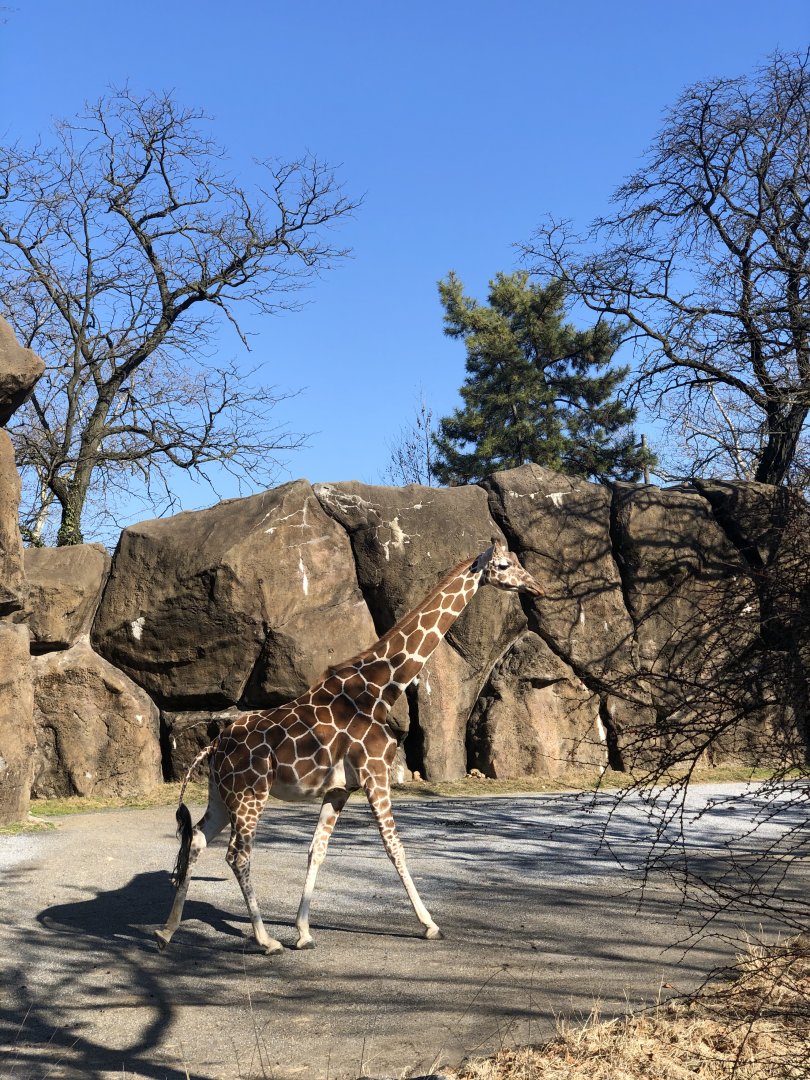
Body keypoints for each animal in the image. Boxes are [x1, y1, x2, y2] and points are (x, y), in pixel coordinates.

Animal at [154, 538, 541, 954]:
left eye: (516, 562)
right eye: (504, 565)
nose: (535, 587)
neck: (382, 688)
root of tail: (213, 749)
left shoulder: (340, 789)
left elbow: (317, 851)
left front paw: (303, 932)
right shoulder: (376, 773)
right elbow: (394, 847)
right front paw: (429, 924)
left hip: (222, 795)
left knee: (196, 839)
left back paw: (167, 931)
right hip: (250, 794)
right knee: (237, 855)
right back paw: (265, 939)